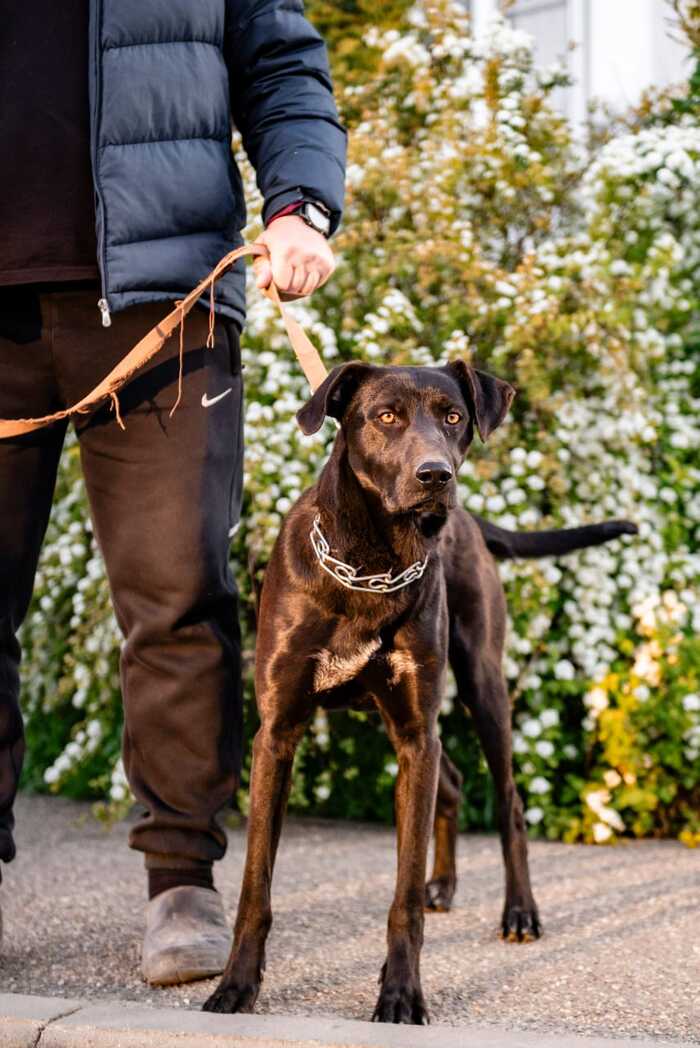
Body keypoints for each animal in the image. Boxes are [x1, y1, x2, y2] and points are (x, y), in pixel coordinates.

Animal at [203, 360, 636, 1024]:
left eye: (453, 416)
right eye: (386, 416)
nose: (436, 475)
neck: (371, 562)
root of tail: (470, 523)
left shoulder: (414, 732)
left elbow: (402, 896)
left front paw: (402, 992)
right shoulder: (277, 733)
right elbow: (256, 885)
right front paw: (236, 986)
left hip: (481, 684)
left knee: (508, 800)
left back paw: (519, 912)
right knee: (452, 782)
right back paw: (446, 885)